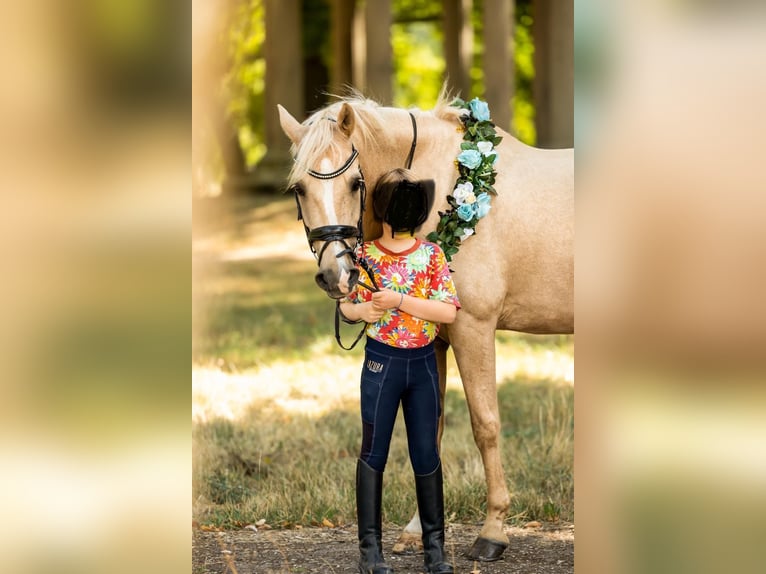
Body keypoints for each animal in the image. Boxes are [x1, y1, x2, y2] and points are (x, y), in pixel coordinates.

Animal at [280, 95, 572, 564]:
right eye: (298, 190)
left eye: (355, 184)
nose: (336, 276)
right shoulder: (433, 343)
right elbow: (428, 430)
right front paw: (417, 531)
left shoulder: (474, 329)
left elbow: (485, 425)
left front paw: (493, 532)